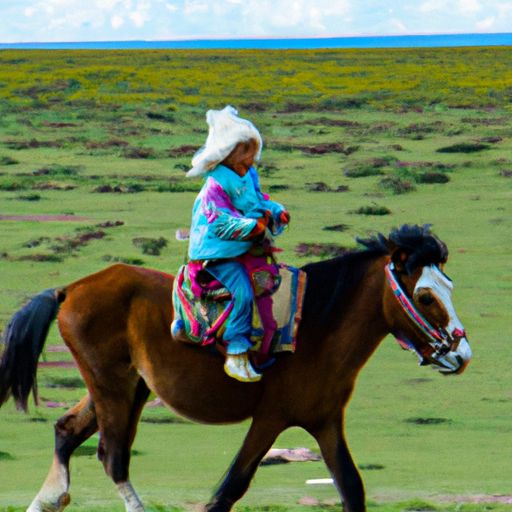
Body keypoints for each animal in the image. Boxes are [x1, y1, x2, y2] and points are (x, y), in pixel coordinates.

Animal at [0, 224, 472, 512]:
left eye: (449, 285)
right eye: (426, 296)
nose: (462, 354)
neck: (318, 328)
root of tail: (69, 289)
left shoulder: (325, 422)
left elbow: (352, 489)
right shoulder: (271, 419)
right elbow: (230, 489)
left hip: (125, 387)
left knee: (67, 432)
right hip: (114, 390)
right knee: (112, 457)